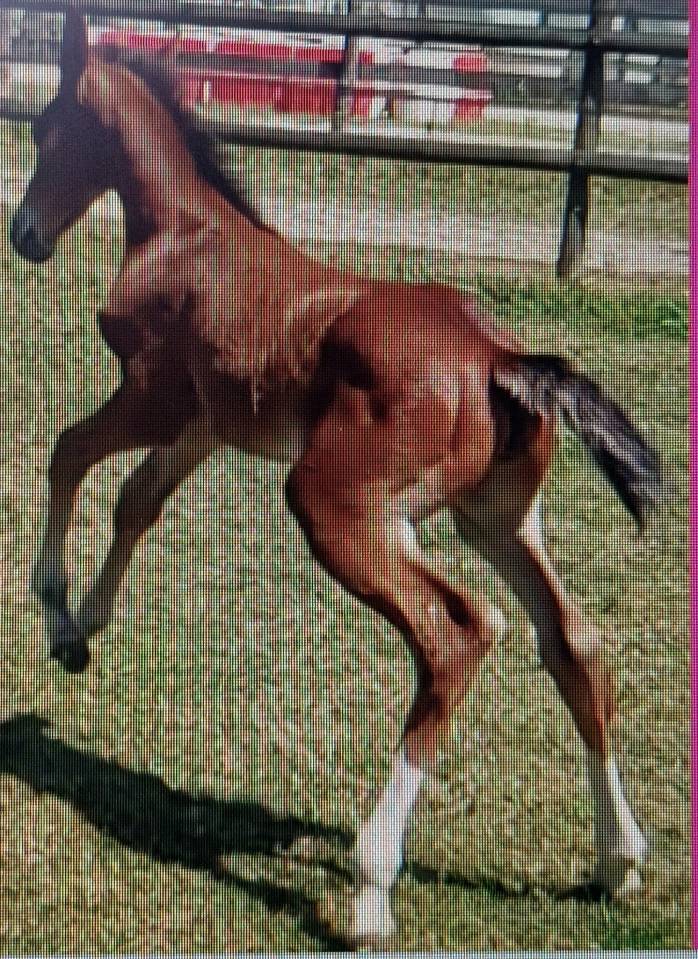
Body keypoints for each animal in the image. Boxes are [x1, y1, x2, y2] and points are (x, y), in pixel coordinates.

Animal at [10, 13, 661, 945]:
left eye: (43, 128)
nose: (24, 234)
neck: (186, 233)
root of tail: (497, 359)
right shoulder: (207, 422)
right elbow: (139, 501)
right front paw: (83, 631)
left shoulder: (153, 395)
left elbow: (67, 452)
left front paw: (57, 606)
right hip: (489, 518)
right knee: (571, 641)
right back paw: (618, 857)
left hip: (333, 504)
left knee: (458, 632)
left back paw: (370, 886)